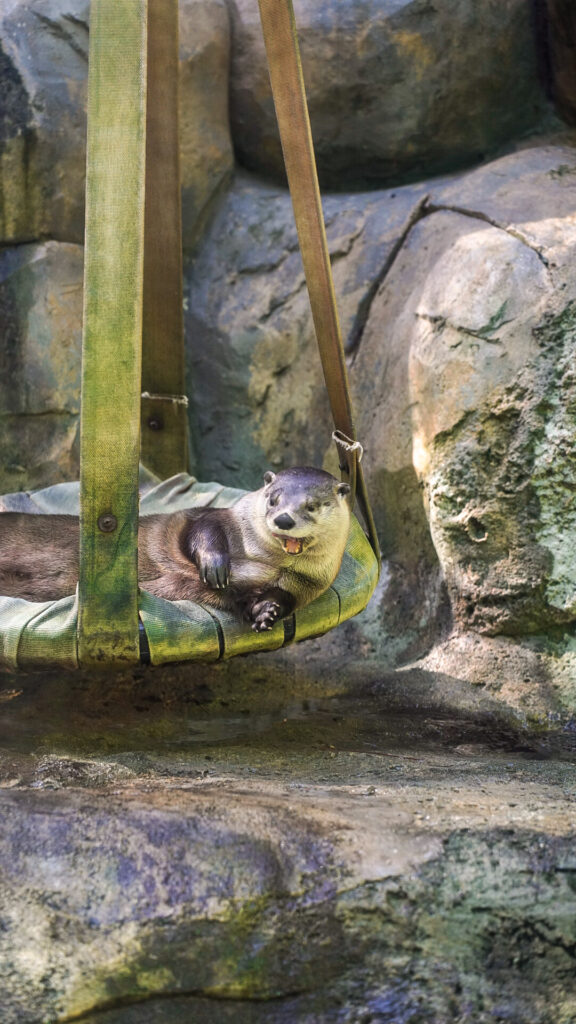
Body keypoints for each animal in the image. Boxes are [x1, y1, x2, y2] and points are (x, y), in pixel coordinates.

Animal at [0, 466, 350, 626]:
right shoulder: (214, 517)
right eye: (273, 499)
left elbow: (272, 599)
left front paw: (268, 612)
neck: (263, 564)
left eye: (311, 506)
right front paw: (215, 567)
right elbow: (200, 530)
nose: (284, 519)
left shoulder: (304, 585)